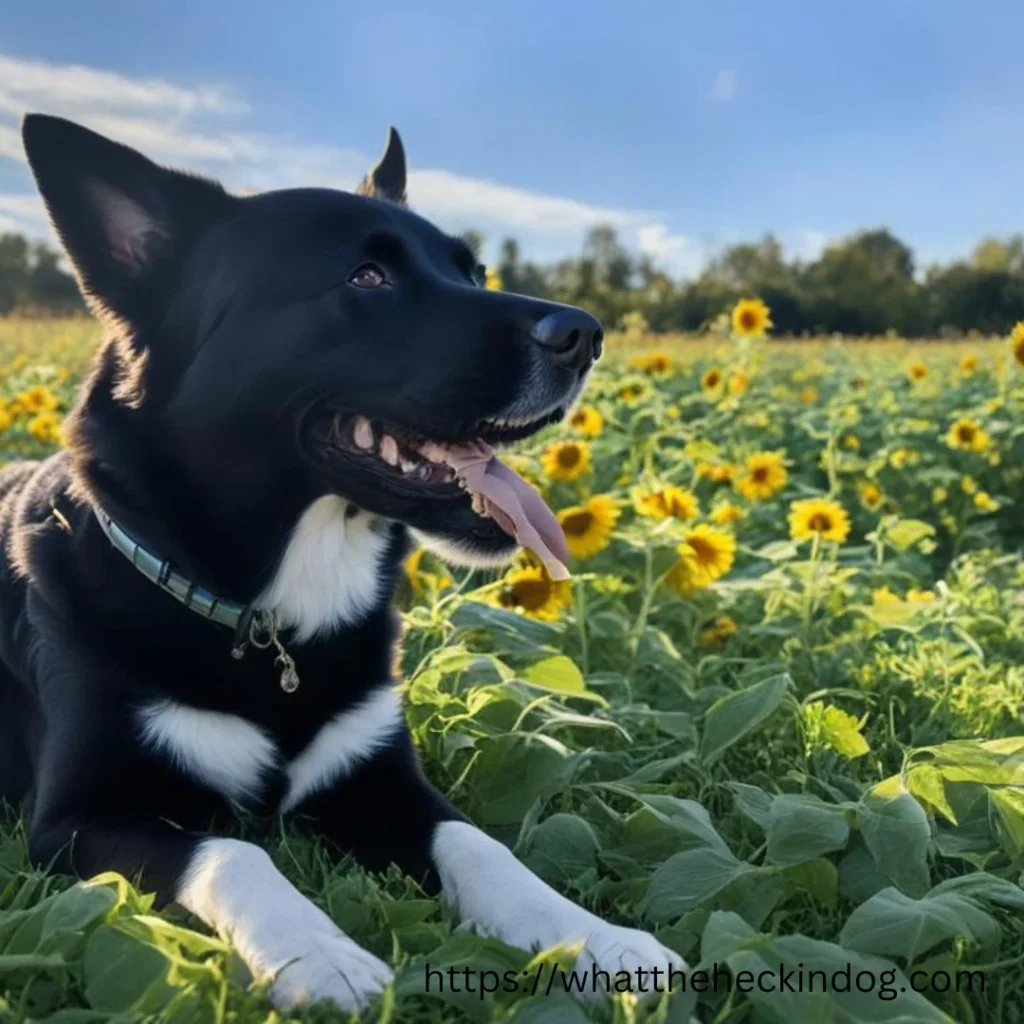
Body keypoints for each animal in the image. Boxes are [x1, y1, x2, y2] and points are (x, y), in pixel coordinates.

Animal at [4, 116, 684, 1011]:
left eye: (474, 272)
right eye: (368, 276)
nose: (586, 334)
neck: (266, 617)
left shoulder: (380, 777)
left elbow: (481, 847)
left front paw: (598, 939)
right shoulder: (78, 818)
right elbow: (235, 850)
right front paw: (319, 954)